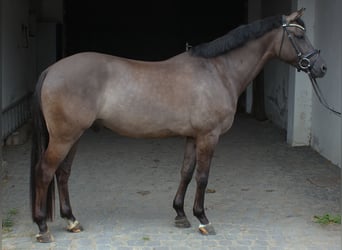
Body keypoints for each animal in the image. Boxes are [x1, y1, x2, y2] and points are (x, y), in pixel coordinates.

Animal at [31, 8, 326, 242]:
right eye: (299, 36)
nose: (320, 68)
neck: (218, 71)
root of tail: (52, 70)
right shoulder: (209, 136)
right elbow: (203, 177)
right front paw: (203, 219)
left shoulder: (193, 137)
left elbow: (185, 172)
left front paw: (181, 214)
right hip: (64, 137)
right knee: (45, 171)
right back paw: (42, 227)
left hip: (74, 136)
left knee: (63, 174)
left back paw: (71, 220)